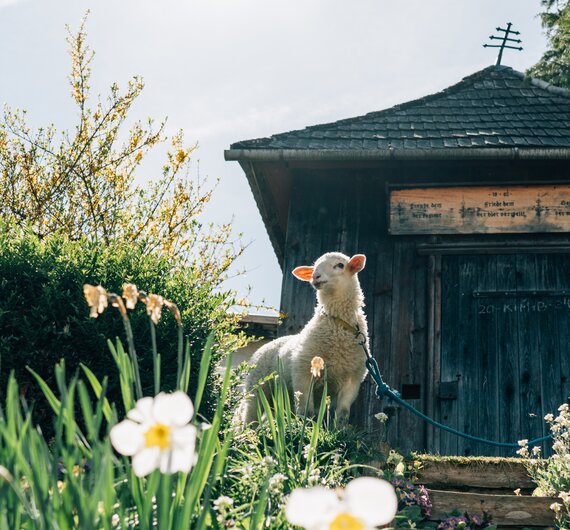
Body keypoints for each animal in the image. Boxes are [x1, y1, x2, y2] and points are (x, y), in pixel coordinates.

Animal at [236, 251, 366, 424]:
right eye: (314, 267)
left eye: (340, 265)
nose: (316, 276)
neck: (338, 325)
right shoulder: (302, 373)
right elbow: (306, 411)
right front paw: (306, 426)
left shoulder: (352, 380)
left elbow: (342, 414)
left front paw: (339, 429)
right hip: (256, 387)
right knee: (250, 416)